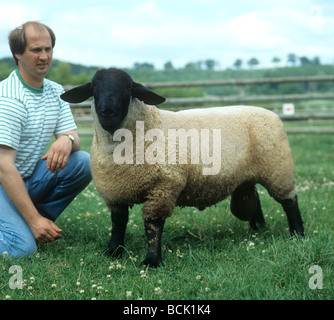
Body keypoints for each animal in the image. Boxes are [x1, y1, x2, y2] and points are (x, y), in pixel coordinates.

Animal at [60, 68, 306, 268]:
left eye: (129, 88)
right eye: (94, 88)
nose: (107, 113)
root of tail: (269, 112)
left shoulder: (163, 187)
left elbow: (153, 227)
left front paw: (152, 261)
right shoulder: (114, 194)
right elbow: (118, 225)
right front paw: (113, 252)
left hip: (278, 169)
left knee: (290, 203)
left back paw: (298, 234)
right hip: (247, 174)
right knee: (254, 195)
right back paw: (257, 229)